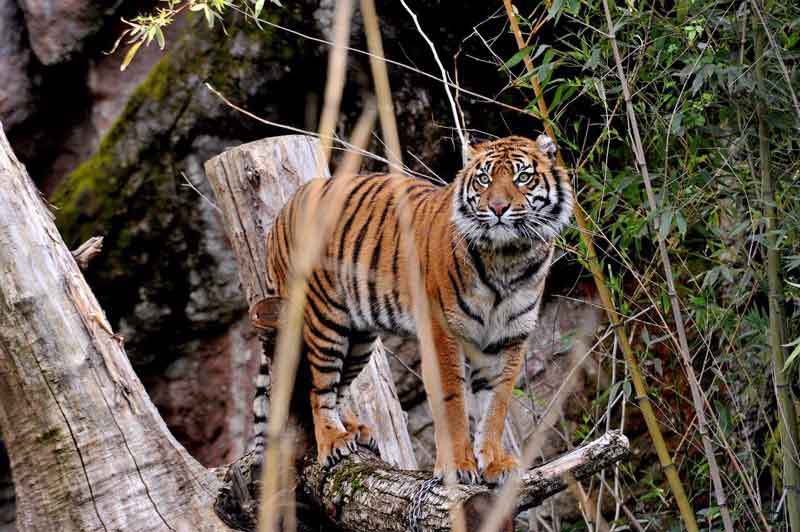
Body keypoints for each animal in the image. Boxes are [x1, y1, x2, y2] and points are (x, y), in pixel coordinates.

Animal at [250, 134, 568, 486]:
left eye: (522, 177)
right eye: (484, 179)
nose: (498, 208)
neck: (508, 257)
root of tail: (285, 208)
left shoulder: (509, 338)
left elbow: (495, 406)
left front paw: (496, 463)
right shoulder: (442, 331)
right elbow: (452, 402)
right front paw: (457, 465)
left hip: (359, 336)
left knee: (340, 386)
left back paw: (355, 429)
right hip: (323, 318)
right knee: (318, 386)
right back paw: (333, 441)